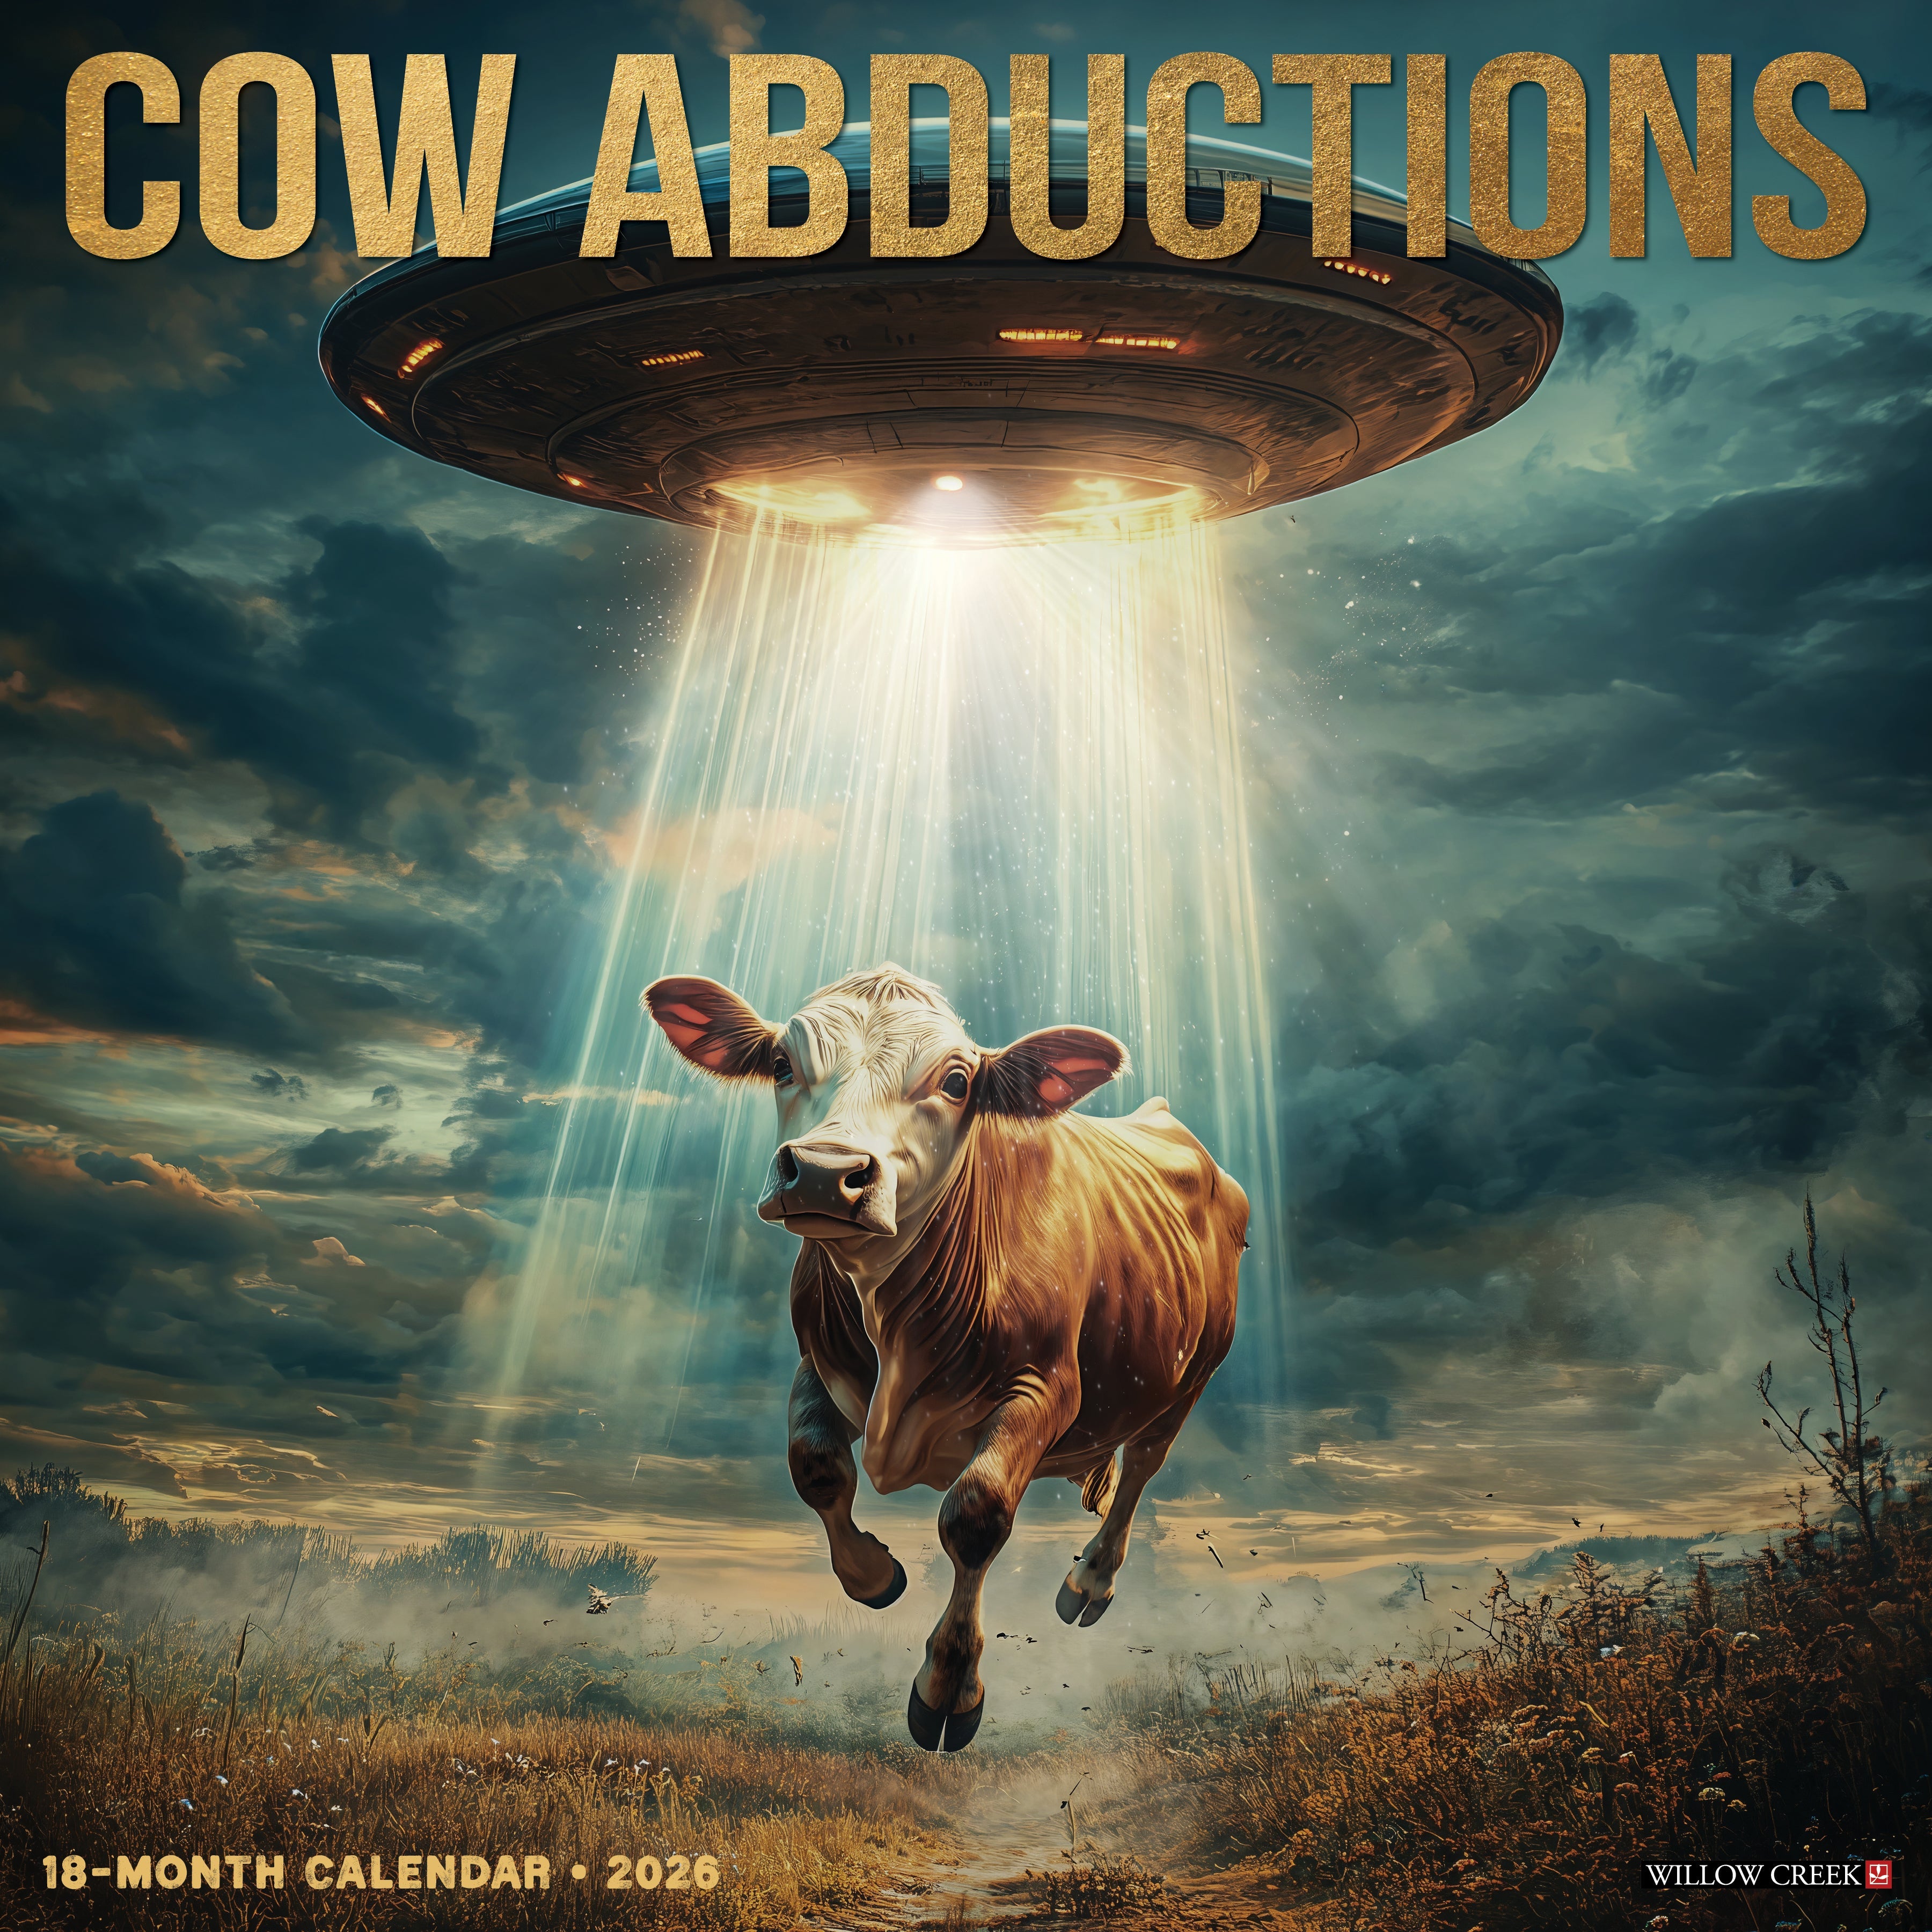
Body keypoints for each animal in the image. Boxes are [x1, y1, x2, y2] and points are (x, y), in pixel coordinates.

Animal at [642, 964, 1246, 1751]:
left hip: (1193, 1374)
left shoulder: (1046, 1390)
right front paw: (871, 1574)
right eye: (780, 1063)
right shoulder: (820, 1363)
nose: (823, 1172)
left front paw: (950, 1685)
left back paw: (1091, 1582)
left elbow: (975, 1515)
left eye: (957, 1080)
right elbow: (816, 1466)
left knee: (1144, 1465)